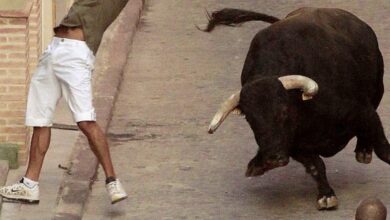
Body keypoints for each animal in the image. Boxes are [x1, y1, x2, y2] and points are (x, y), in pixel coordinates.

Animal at [204, 7, 386, 210]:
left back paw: (364, 151)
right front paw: (326, 195)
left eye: (284, 111)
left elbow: (383, 148)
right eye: (250, 119)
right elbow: (316, 165)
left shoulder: (363, 112)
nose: (273, 158)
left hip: (378, 89)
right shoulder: (294, 146)